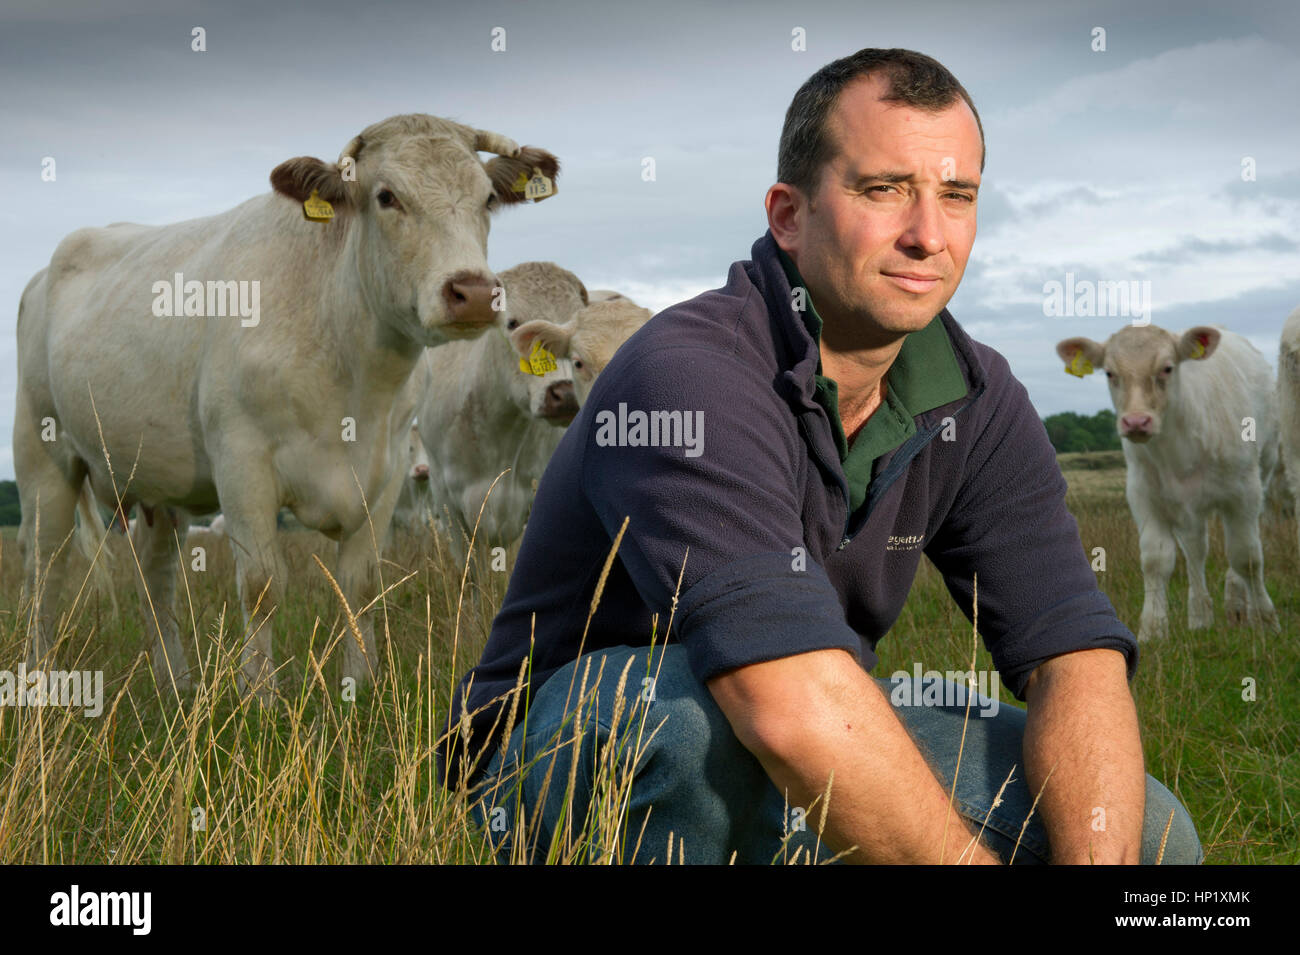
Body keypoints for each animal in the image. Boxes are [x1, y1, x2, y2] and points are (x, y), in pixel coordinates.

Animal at [15, 111, 556, 696]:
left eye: (486, 197)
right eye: (387, 196)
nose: (473, 292)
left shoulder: (387, 470)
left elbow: (361, 583)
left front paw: (358, 686)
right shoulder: (242, 461)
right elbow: (261, 583)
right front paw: (260, 695)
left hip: (158, 485)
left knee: (156, 577)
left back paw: (176, 683)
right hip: (42, 454)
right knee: (44, 567)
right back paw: (38, 678)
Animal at [1060, 324, 1284, 647]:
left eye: (1167, 368)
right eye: (1110, 373)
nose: (1136, 422)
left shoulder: (1244, 493)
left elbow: (1247, 556)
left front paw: (1266, 621)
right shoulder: (1144, 495)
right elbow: (1156, 559)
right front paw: (1153, 629)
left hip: (1264, 468)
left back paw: (1238, 606)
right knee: (1195, 550)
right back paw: (1200, 615)